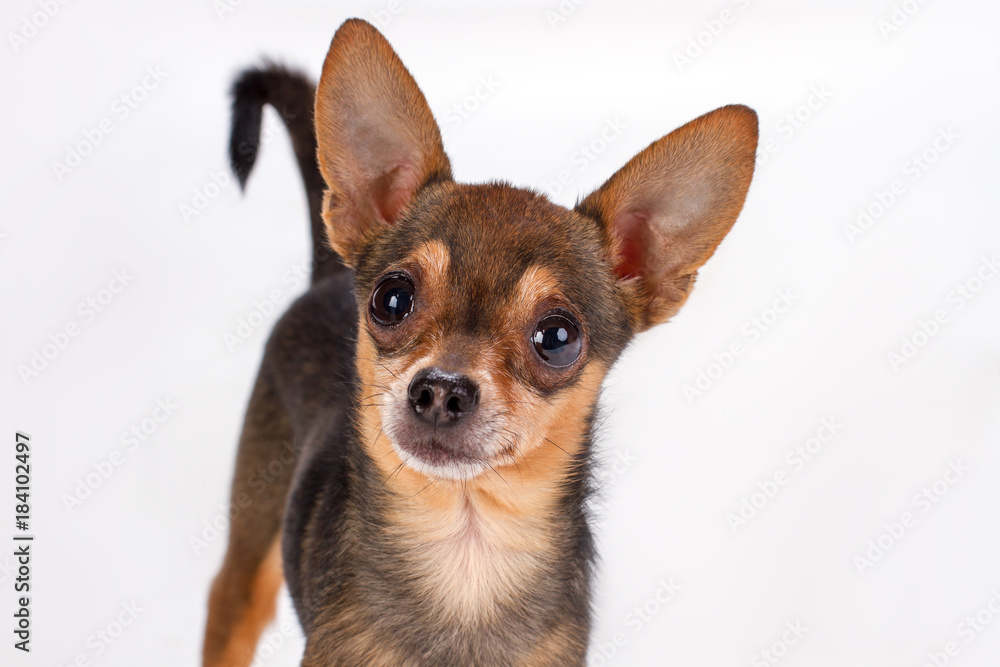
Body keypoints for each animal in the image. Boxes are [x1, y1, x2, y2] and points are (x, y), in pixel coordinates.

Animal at [199, 17, 752, 667]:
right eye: (392, 299)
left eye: (558, 338)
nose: (440, 390)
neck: (467, 554)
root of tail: (327, 274)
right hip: (249, 556)